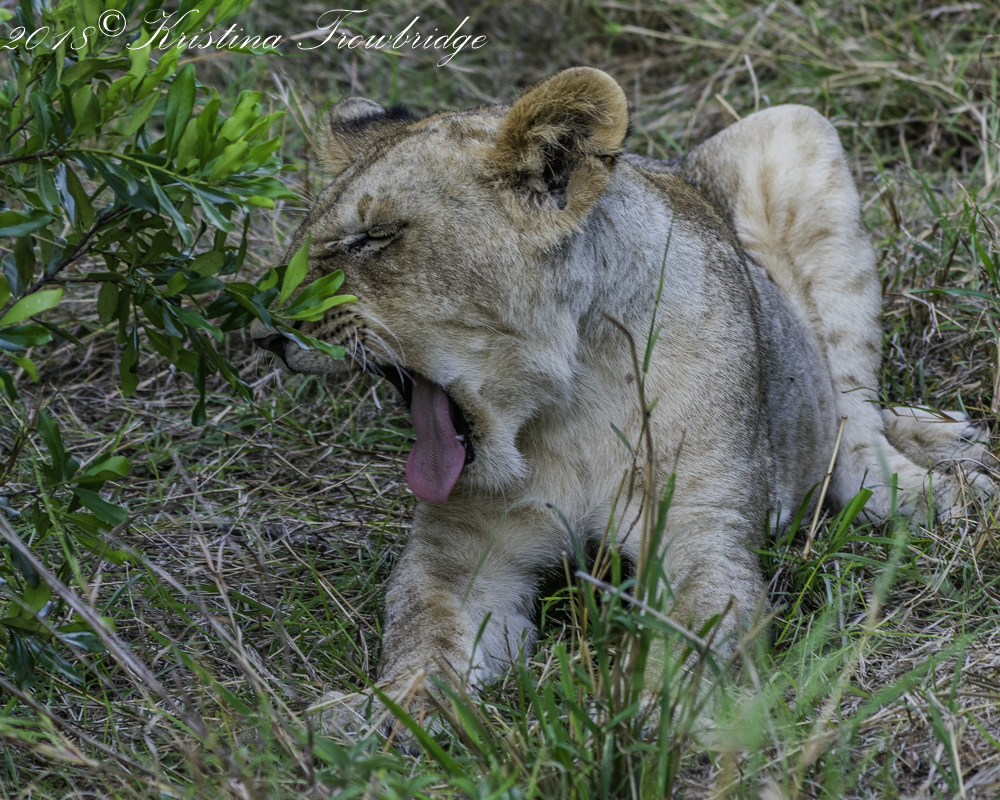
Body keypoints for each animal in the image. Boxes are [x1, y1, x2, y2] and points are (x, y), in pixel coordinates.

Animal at [250, 67, 994, 729]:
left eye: (374, 237)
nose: (261, 331)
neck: (570, 401)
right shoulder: (460, 554)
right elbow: (423, 630)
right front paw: (394, 714)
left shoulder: (699, 529)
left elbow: (699, 630)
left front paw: (655, 713)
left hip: (790, 129)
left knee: (853, 420)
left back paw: (951, 486)